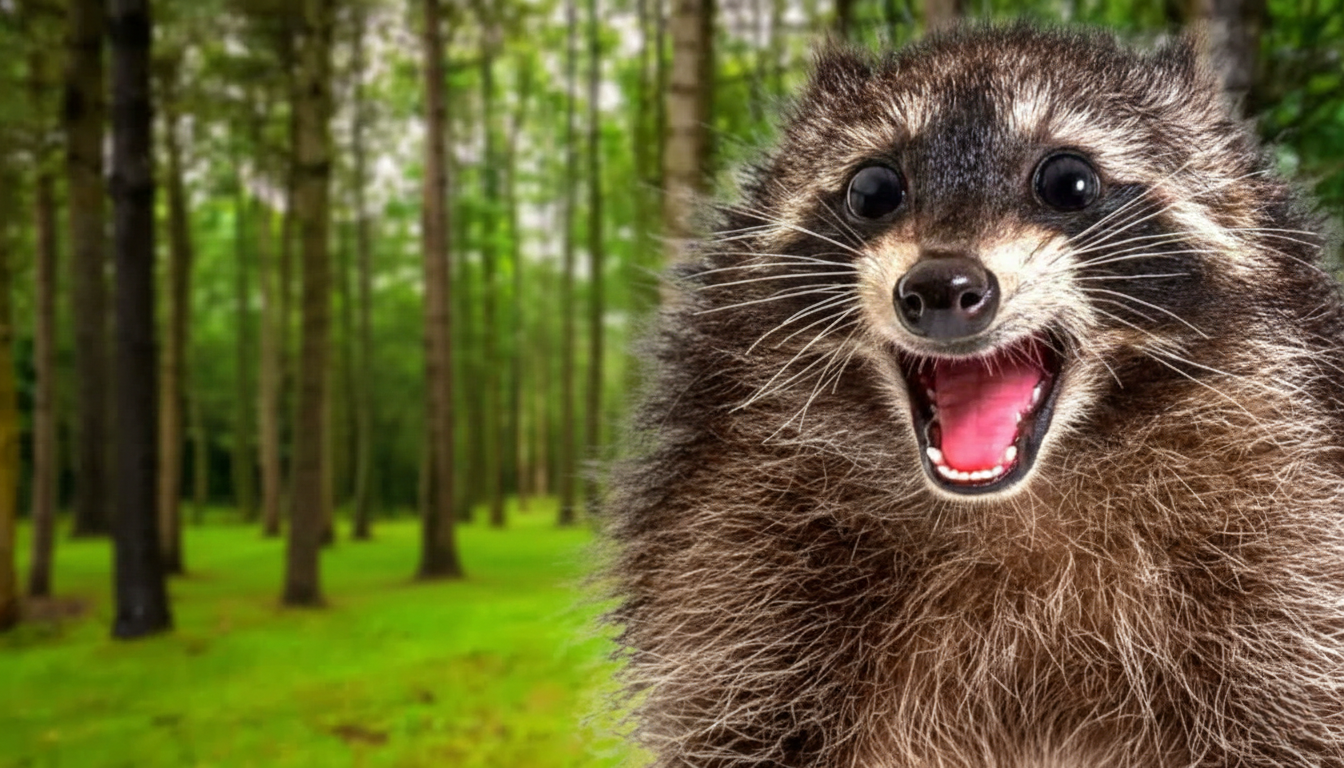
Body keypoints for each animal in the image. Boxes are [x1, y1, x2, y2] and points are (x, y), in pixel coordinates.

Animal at [605, 24, 1344, 768]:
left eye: (1069, 182)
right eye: (873, 189)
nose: (942, 285)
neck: (1006, 507)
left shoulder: (1289, 560)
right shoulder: (736, 566)